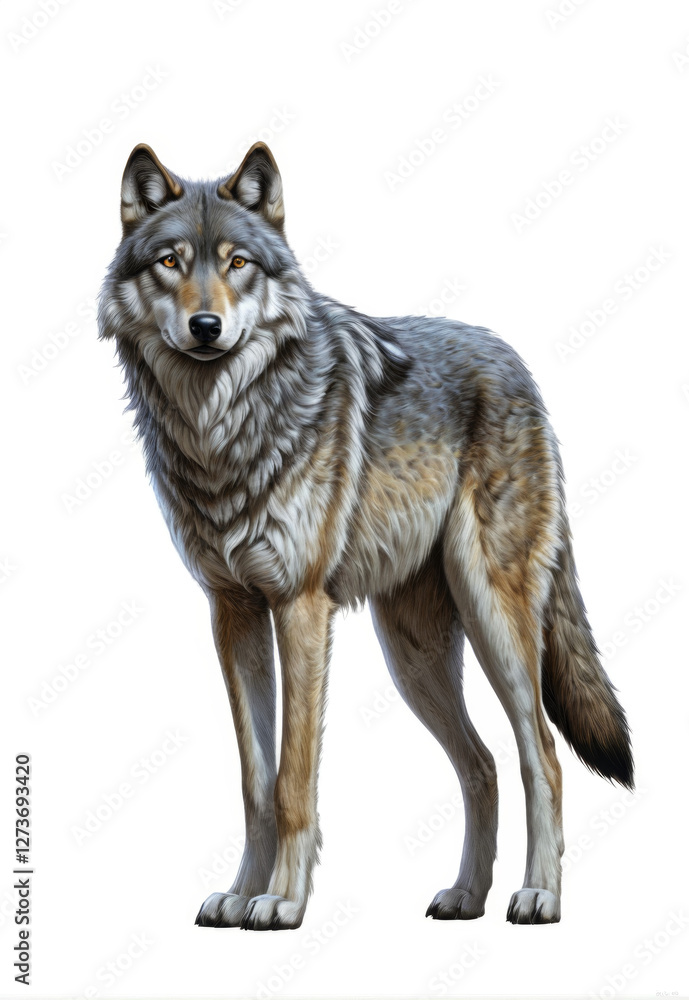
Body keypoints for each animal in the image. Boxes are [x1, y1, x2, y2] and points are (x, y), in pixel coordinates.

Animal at [98, 141, 633, 929]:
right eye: (170, 261)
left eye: (236, 263)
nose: (206, 328)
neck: (222, 427)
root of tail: (514, 364)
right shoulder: (233, 612)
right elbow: (255, 782)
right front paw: (240, 892)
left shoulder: (299, 606)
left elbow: (292, 781)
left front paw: (281, 901)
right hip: (410, 657)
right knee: (481, 763)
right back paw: (466, 896)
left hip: (494, 621)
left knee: (541, 752)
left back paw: (537, 895)